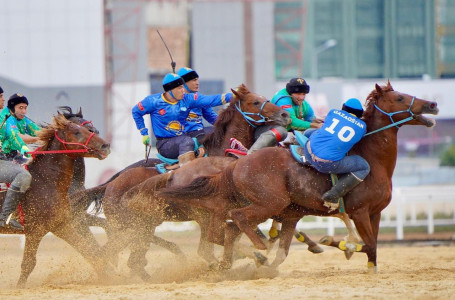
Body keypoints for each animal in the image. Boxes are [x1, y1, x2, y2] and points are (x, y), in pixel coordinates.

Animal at [0, 113, 112, 288]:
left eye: (90, 129)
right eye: (77, 131)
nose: (105, 145)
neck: (45, 182)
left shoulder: (62, 225)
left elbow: (89, 250)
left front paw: (110, 276)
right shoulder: (35, 230)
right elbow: (28, 264)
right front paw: (19, 288)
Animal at [159, 81, 440, 272]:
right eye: (400, 97)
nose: (433, 104)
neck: (371, 157)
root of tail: (237, 164)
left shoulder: (374, 213)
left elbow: (373, 247)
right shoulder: (359, 212)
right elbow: (368, 244)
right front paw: (342, 245)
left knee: (226, 233)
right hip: (264, 204)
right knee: (234, 223)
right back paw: (257, 250)